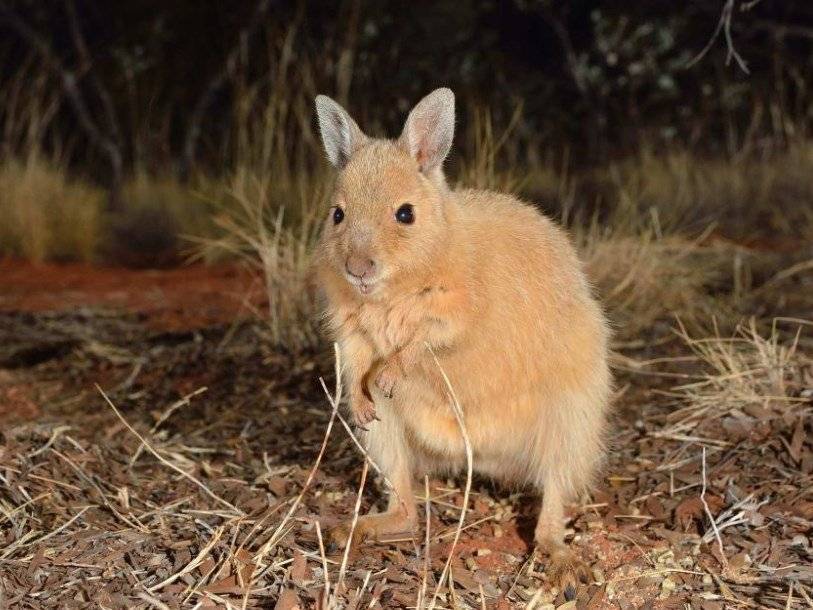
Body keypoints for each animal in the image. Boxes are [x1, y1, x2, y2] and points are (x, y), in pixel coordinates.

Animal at [311, 87, 612, 586]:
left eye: (405, 214)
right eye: (338, 215)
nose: (358, 269)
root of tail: (488, 459)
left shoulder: (459, 314)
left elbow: (425, 343)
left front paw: (389, 375)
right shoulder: (348, 326)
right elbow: (356, 361)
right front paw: (361, 396)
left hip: (572, 418)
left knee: (554, 495)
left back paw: (559, 557)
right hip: (387, 439)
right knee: (407, 507)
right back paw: (352, 529)